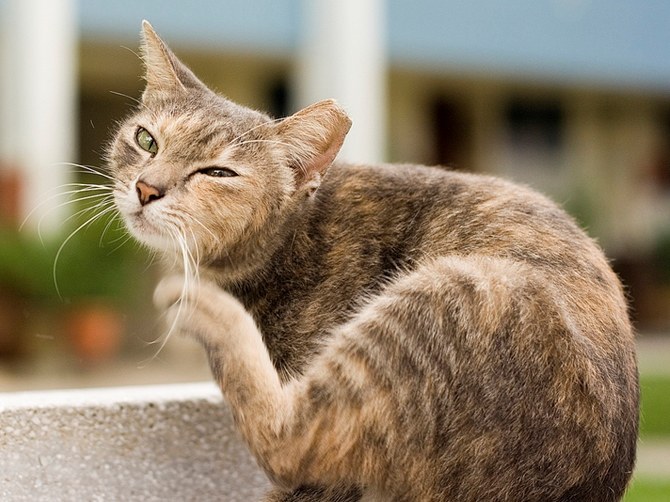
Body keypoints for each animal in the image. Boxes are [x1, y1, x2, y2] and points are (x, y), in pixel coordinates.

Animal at [109, 21, 640, 500]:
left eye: (217, 172)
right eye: (146, 140)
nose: (147, 187)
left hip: (463, 290)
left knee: (289, 443)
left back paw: (204, 309)